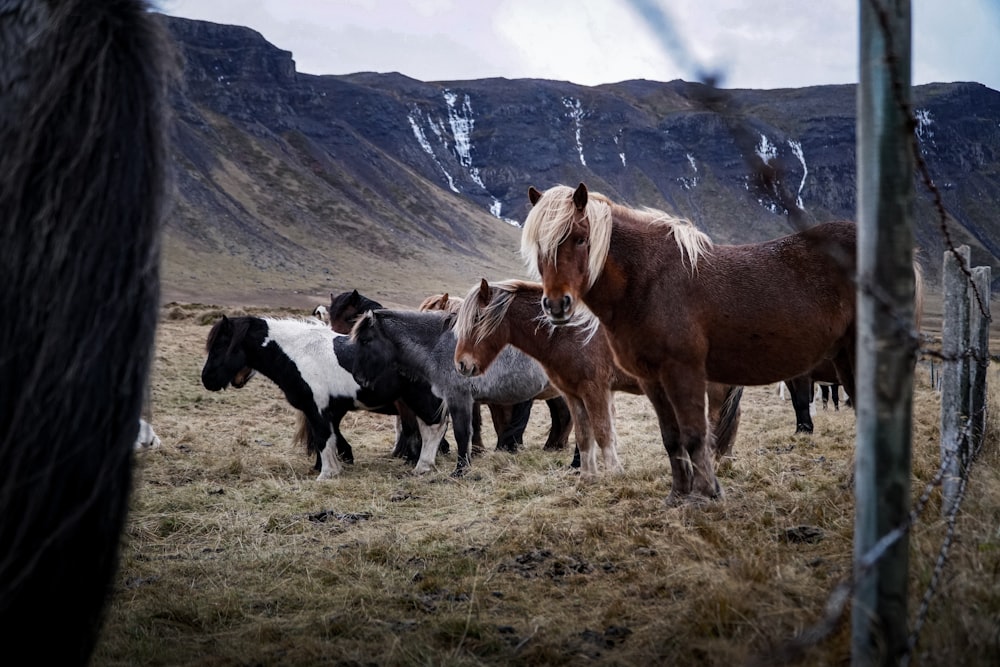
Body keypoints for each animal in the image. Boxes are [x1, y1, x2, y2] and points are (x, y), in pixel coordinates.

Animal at [201, 316, 448, 478]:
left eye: (222, 344)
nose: (207, 379)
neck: (299, 354)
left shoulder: (317, 407)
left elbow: (323, 437)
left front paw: (328, 473)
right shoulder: (328, 409)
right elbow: (328, 437)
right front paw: (325, 466)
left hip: (421, 399)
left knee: (433, 429)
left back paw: (423, 466)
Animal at [454, 278, 744, 480]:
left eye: (478, 318)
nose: (461, 364)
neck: (568, 333)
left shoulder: (595, 389)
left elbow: (603, 432)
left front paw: (615, 474)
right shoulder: (573, 394)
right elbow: (584, 436)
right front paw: (587, 478)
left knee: (715, 422)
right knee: (732, 419)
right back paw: (725, 462)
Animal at [520, 183, 856, 506]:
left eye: (579, 238)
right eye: (539, 245)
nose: (556, 305)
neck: (649, 282)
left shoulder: (683, 372)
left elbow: (695, 434)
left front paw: (704, 495)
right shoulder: (652, 379)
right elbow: (671, 437)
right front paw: (678, 494)